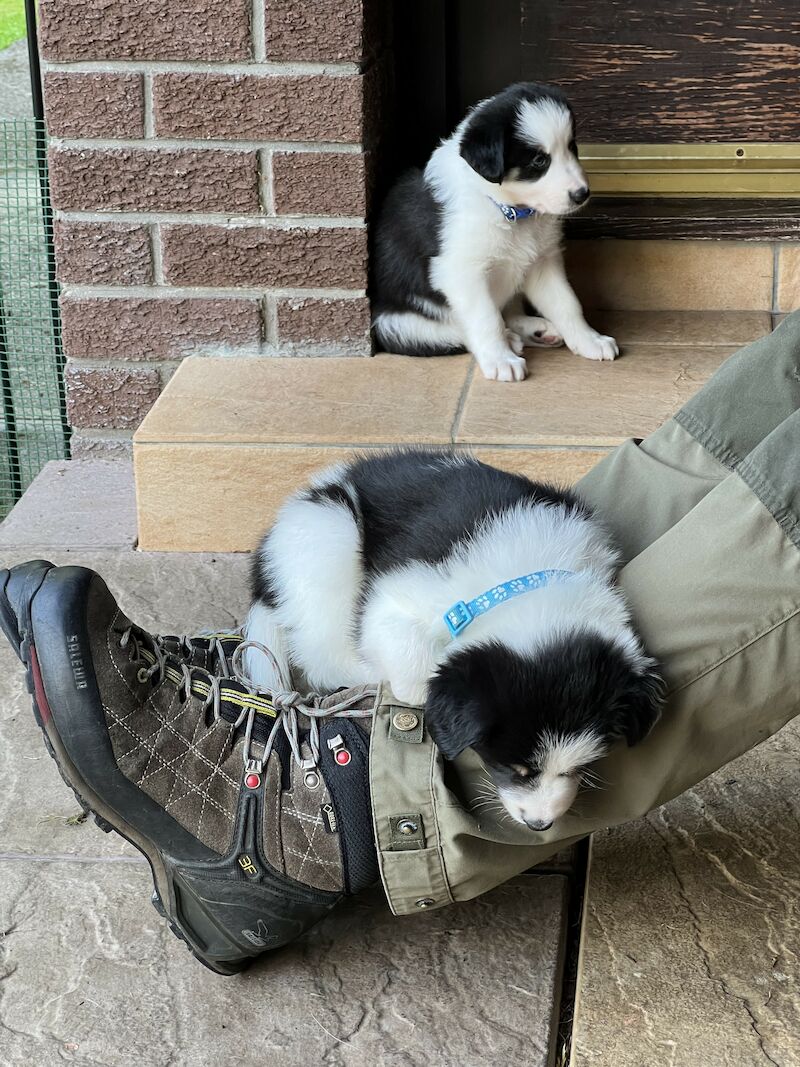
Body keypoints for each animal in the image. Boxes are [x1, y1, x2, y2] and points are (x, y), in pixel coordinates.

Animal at [244, 450, 665, 832]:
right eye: (515, 767)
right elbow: (414, 666)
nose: (539, 824)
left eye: (580, 767)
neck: (528, 579)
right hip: (328, 537)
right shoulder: (395, 596)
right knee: (323, 654)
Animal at [371, 82, 618, 384]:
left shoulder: (543, 261)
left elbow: (567, 303)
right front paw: (501, 360)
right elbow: (486, 319)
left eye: (572, 147)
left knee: (508, 313)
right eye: (539, 160)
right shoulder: (461, 271)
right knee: (453, 331)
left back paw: (537, 330)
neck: (509, 211)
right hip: (394, 322)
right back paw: (511, 341)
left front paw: (590, 340)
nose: (582, 194)